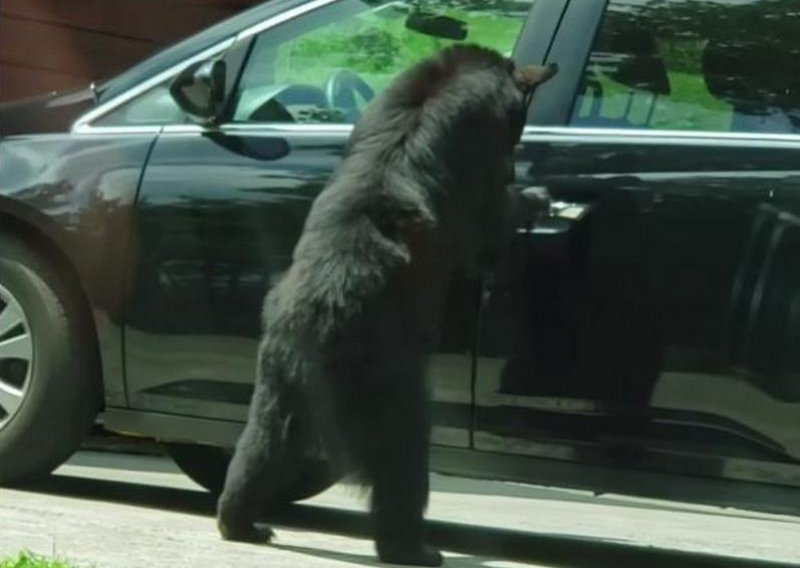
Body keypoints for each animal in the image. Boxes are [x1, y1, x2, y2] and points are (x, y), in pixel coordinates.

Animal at [216, 45, 560, 568]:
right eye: (520, 123)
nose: (519, 166)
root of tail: (312, 320)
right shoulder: (477, 164)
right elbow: (488, 224)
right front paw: (533, 197)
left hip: (276, 378)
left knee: (262, 445)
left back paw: (241, 523)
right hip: (386, 380)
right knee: (403, 458)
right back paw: (413, 547)